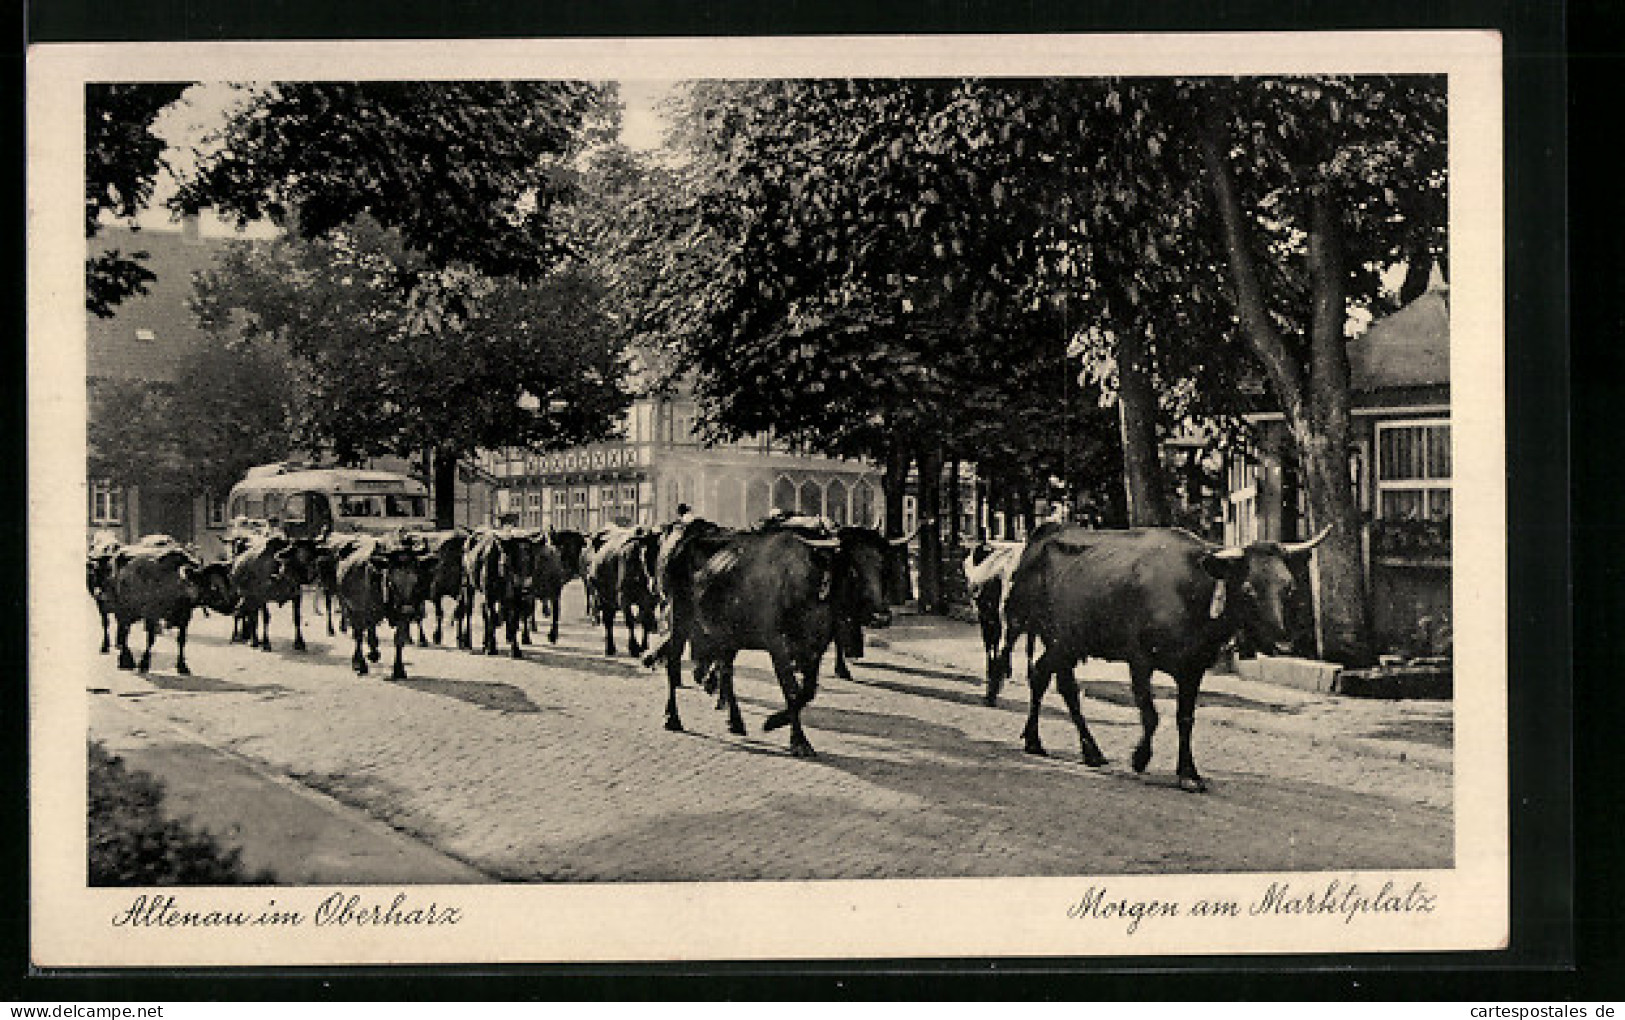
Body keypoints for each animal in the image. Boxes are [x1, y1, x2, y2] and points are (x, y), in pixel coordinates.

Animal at [104, 539, 237, 672]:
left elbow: (181, 640)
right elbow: (150, 639)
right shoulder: (151, 615)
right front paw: (144, 663)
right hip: (122, 610)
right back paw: (125, 660)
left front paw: (182, 666)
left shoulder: (184, 617)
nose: (233, 605)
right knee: (123, 632)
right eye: (214, 586)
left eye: (229, 582)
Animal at [994, 522, 1326, 792]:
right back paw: (1036, 741)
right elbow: (1150, 715)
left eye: (1288, 587)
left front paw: (1188, 774)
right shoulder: (1139, 659)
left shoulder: (1193, 667)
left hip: (1067, 643)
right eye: (1248, 589)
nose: (1283, 645)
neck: (1192, 593)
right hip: (1037, 628)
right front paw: (1140, 758)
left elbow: (1185, 719)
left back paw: (1088, 751)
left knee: (1057, 682)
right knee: (1042, 676)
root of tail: (1047, 530)